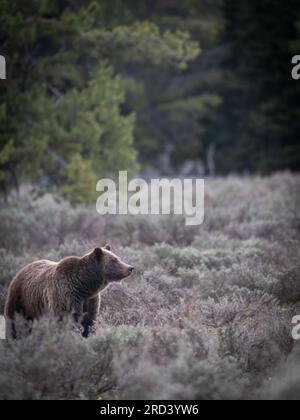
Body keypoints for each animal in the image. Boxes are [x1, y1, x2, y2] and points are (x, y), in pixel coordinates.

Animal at [4, 246, 134, 338]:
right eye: (114, 260)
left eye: (118, 258)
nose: (130, 267)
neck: (84, 286)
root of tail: (21, 269)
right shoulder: (66, 295)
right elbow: (66, 320)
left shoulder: (90, 300)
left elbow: (89, 320)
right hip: (21, 299)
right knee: (15, 322)